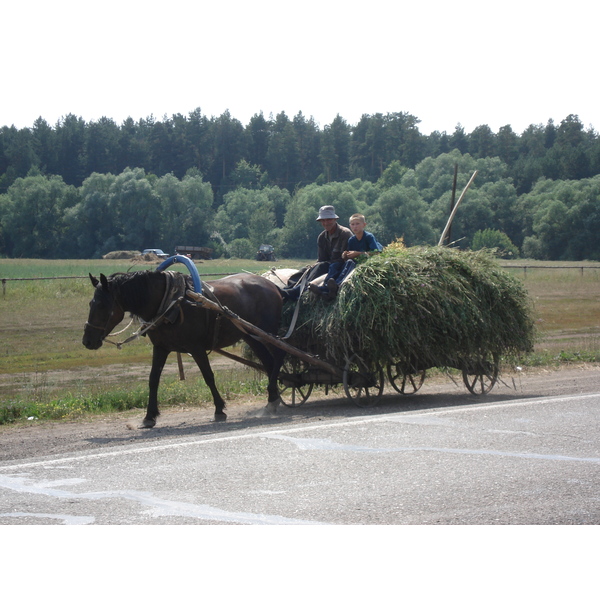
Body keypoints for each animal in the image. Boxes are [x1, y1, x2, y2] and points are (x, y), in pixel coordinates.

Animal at [82, 272, 286, 426]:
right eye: (91, 303)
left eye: (102, 305)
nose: (87, 341)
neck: (170, 302)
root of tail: (272, 285)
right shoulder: (161, 348)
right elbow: (153, 379)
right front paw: (149, 416)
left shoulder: (196, 348)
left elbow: (208, 377)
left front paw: (219, 410)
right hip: (251, 336)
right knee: (268, 362)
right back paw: (273, 399)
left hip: (267, 332)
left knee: (279, 356)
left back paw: (273, 397)